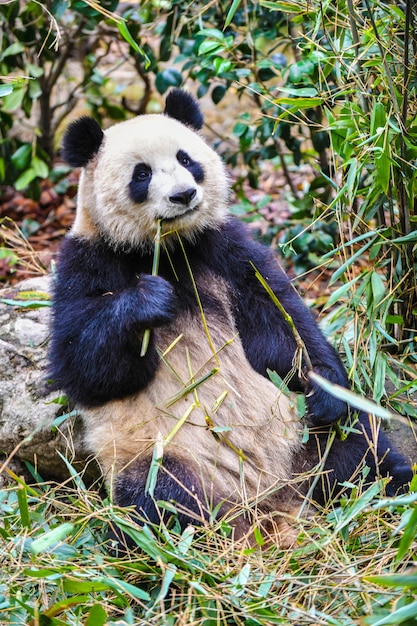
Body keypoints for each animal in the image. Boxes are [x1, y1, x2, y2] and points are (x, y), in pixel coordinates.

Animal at [48, 89, 410, 544]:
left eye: (186, 159)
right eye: (141, 174)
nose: (183, 195)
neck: (169, 247)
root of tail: (269, 500)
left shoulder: (225, 249)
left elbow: (280, 321)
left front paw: (324, 388)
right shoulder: (86, 262)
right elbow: (84, 367)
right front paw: (149, 301)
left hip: (297, 430)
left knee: (352, 443)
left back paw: (392, 482)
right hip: (161, 452)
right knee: (158, 496)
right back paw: (194, 536)